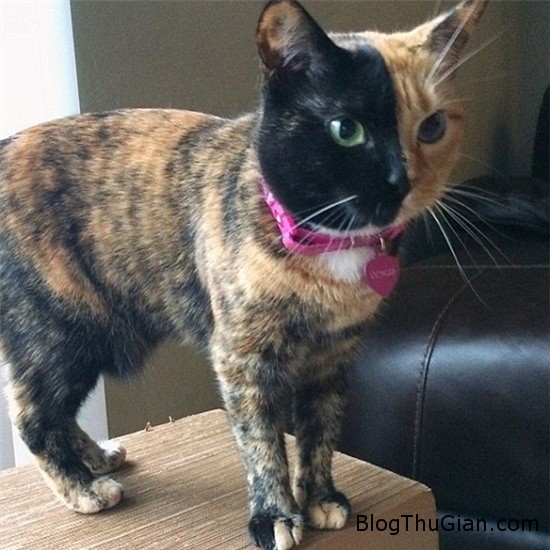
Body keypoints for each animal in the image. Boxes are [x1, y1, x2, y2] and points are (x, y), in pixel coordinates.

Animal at [0, 0, 487, 548]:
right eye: (346, 129)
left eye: (432, 126)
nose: (400, 181)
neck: (328, 248)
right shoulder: (243, 357)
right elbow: (262, 441)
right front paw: (274, 514)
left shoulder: (334, 355)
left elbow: (321, 431)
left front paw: (320, 497)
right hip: (61, 330)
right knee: (32, 414)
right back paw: (83, 488)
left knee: (55, 411)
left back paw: (97, 457)